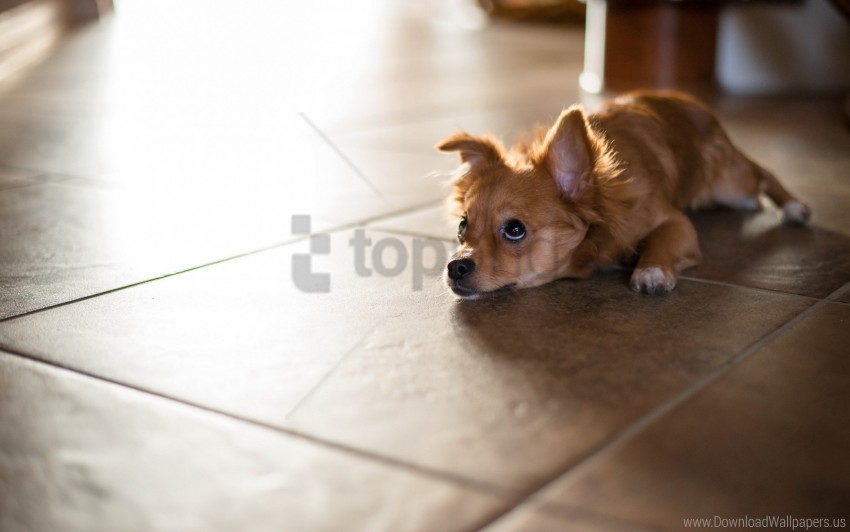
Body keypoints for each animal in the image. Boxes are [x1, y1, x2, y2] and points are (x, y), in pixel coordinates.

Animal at [438, 92, 808, 300]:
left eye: (515, 230)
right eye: (462, 227)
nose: (455, 266)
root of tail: (692, 102)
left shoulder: (676, 222)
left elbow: (661, 241)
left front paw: (651, 271)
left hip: (730, 184)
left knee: (763, 172)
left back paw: (795, 207)